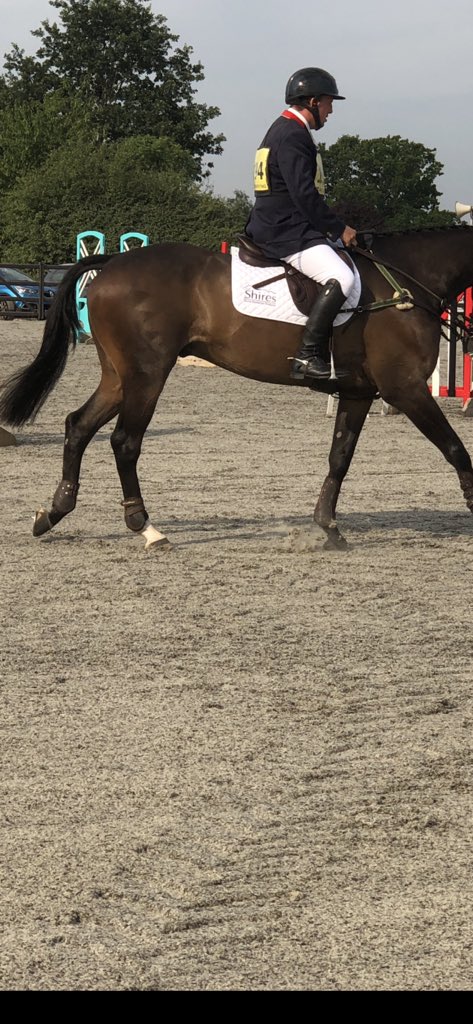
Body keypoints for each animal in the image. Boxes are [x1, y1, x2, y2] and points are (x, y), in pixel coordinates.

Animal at [1, 225, 473, 552]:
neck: (409, 284)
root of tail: (112, 264)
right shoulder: (405, 390)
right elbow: (455, 449)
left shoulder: (358, 393)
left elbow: (340, 458)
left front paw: (328, 528)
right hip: (148, 374)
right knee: (125, 441)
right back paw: (147, 528)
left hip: (119, 377)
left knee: (79, 425)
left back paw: (53, 512)